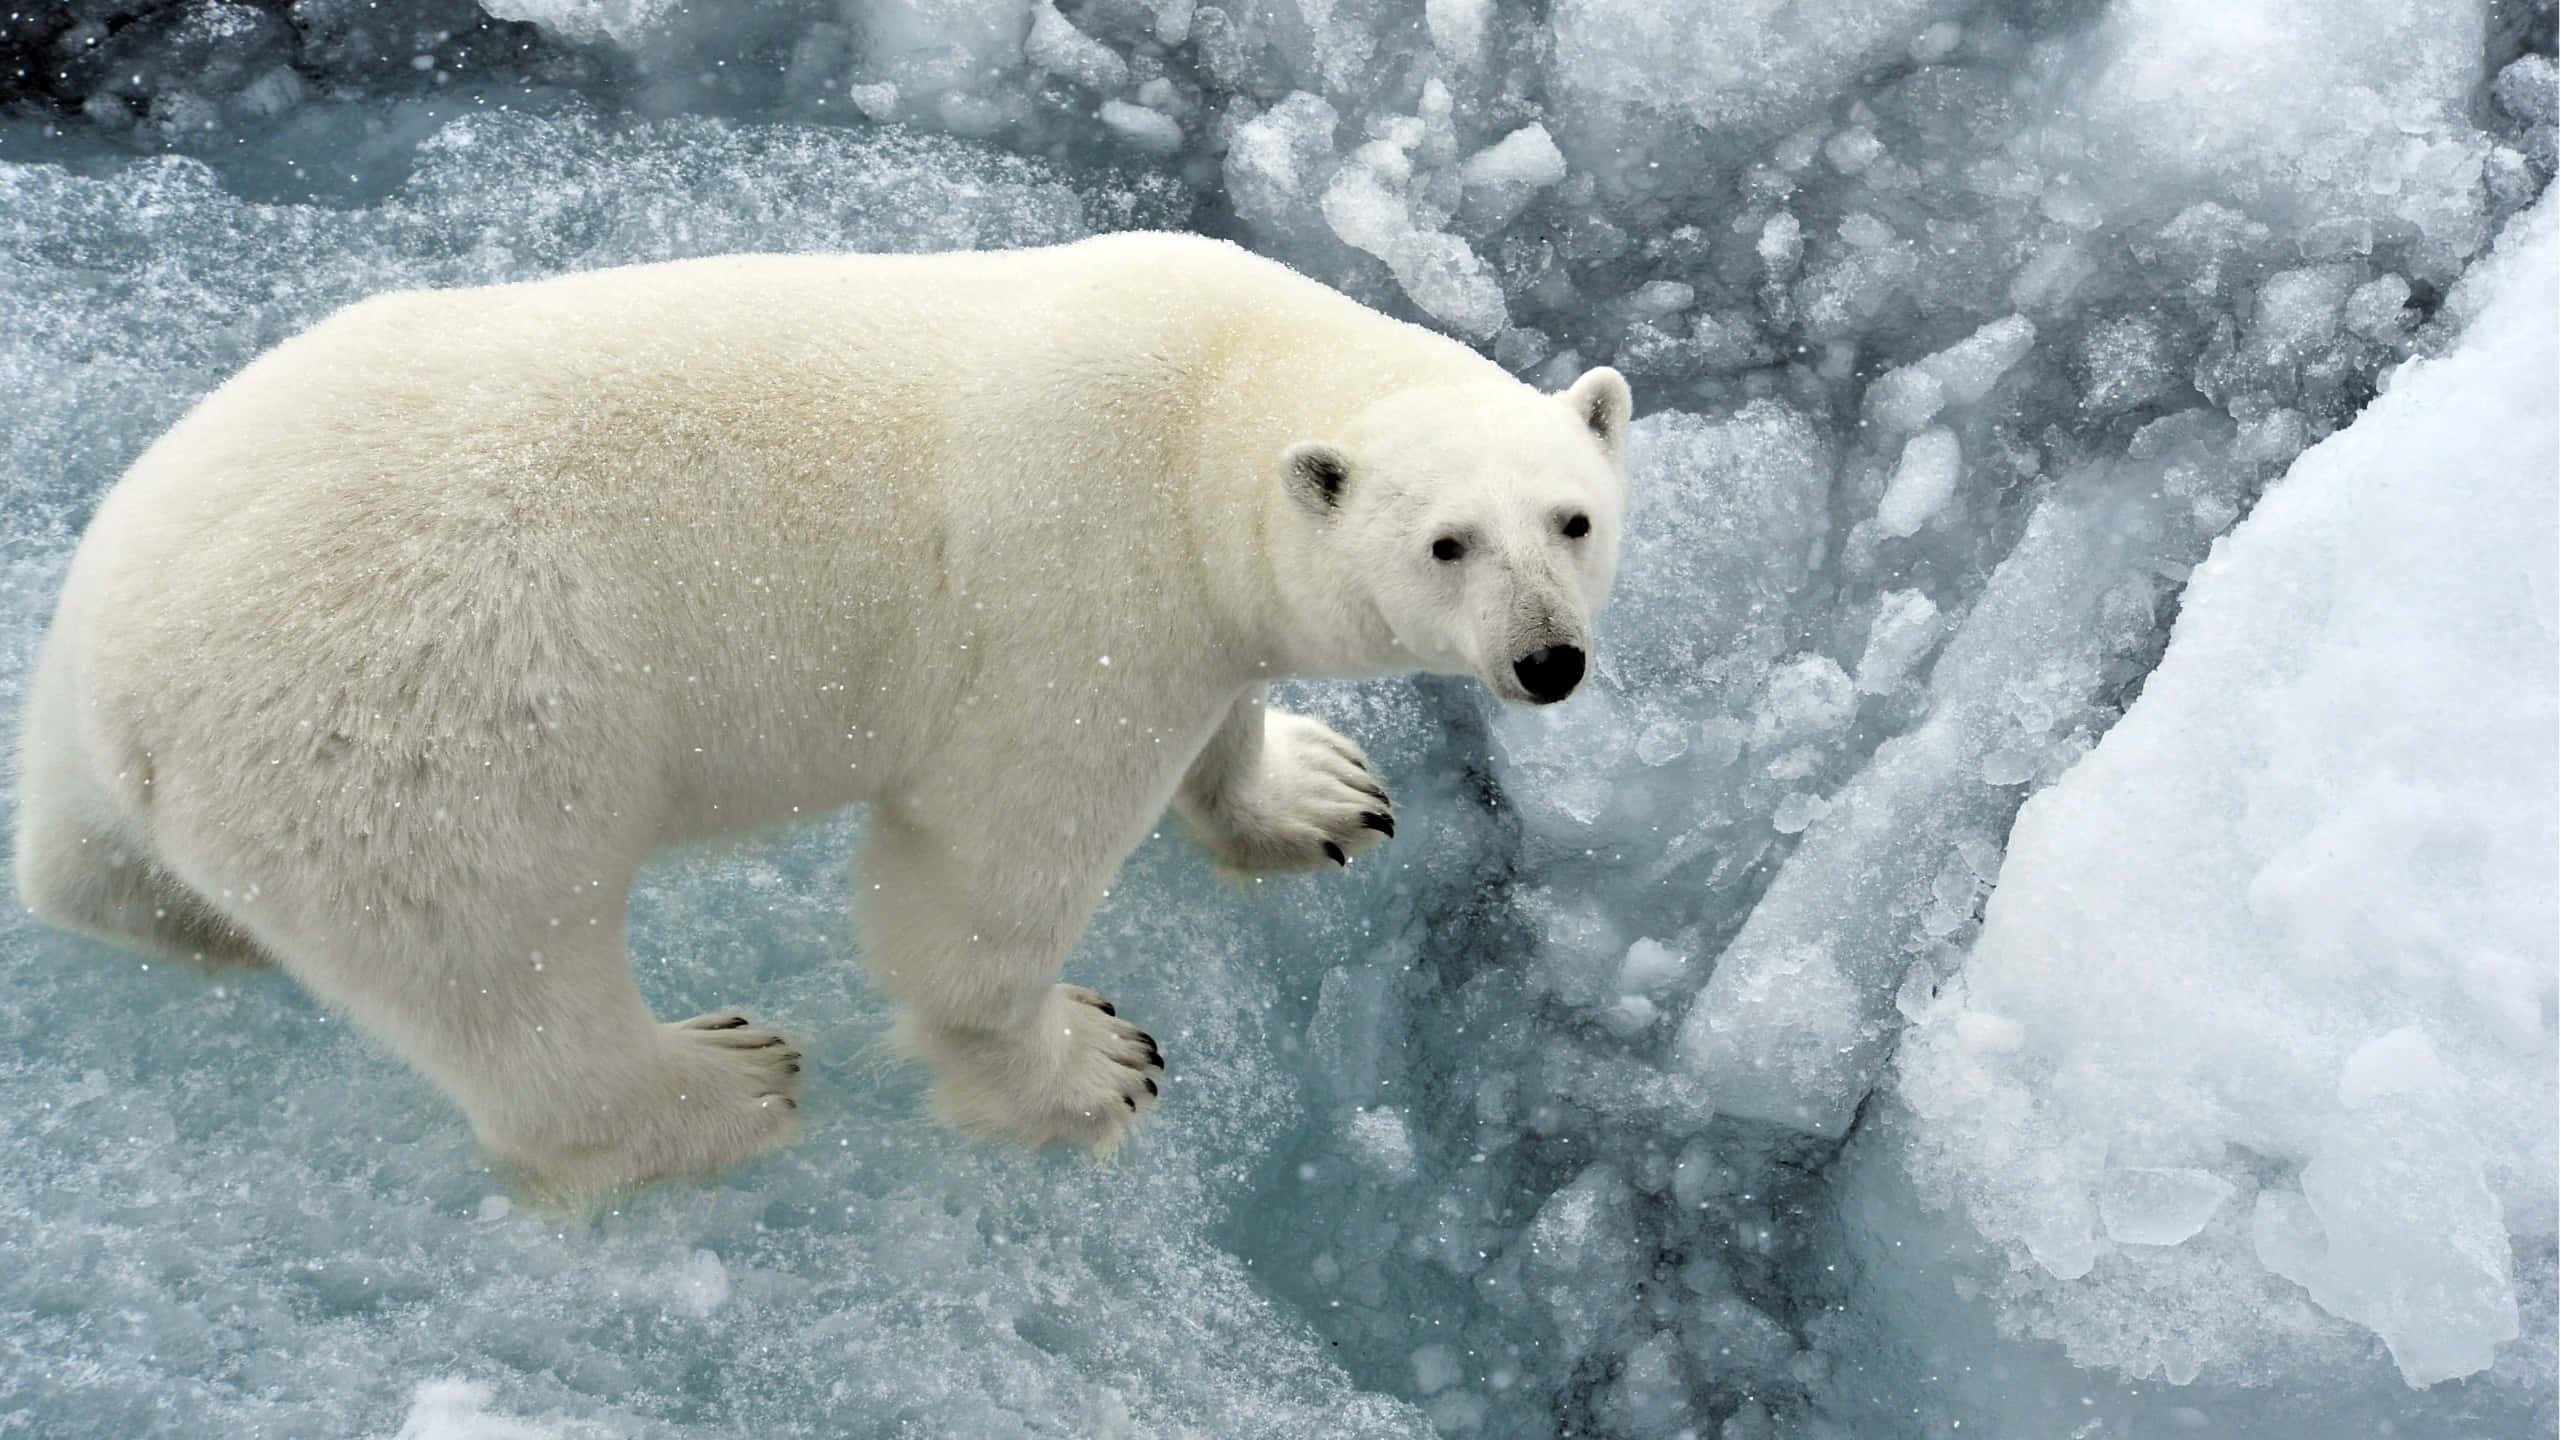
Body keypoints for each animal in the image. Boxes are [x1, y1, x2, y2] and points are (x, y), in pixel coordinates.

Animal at [11, 231, 1631, 1196]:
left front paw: (1319, 792)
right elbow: (983, 870)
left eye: (1574, 518)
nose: (1550, 662)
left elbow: (1229, 718)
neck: (1210, 384)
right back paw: (722, 1083)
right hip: (427, 724)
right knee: (505, 961)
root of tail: (122, 679)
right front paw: (1090, 1066)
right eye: (1447, 545)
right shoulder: (1083, 591)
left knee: (107, 873)